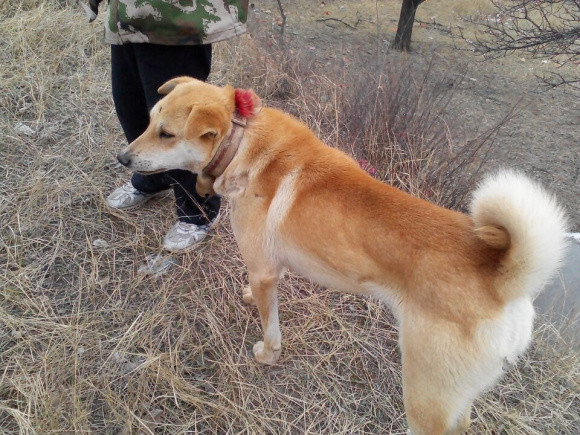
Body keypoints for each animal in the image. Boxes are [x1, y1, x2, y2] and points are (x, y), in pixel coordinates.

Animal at [118, 76, 568, 434]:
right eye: (149, 122)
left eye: (166, 134)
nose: (123, 157)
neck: (241, 140)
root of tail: (501, 277)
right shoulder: (269, 270)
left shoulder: (264, 271)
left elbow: (271, 328)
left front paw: (267, 354)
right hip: (456, 396)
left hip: (426, 394)